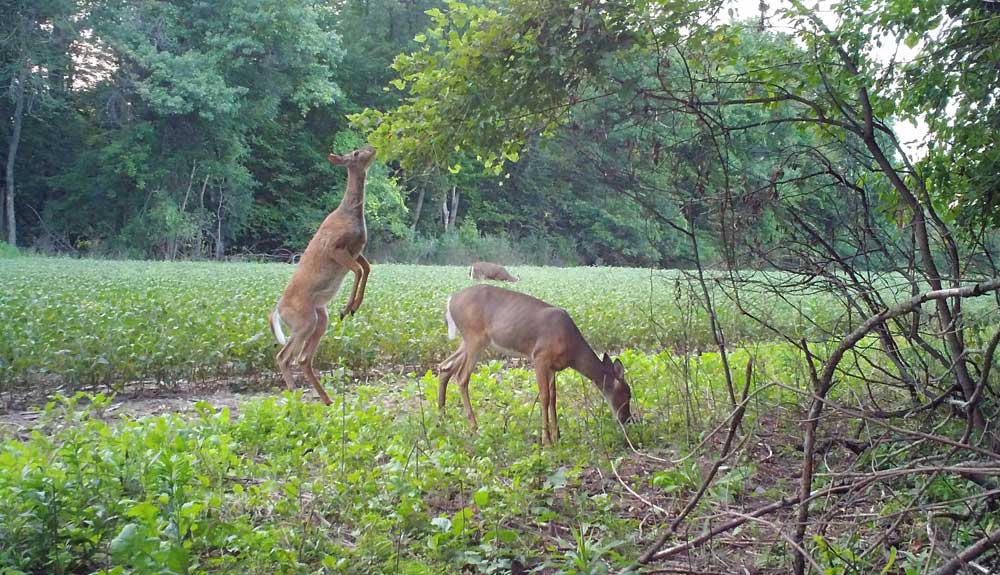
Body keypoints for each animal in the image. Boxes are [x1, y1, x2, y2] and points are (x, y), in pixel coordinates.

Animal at [268, 144, 376, 404]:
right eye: (355, 152)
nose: (372, 148)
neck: (349, 213)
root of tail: (277, 309)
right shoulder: (337, 249)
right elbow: (358, 271)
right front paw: (348, 307)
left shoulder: (357, 250)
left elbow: (367, 269)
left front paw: (353, 307)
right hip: (303, 320)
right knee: (284, 356)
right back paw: (296, 396)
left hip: (319, 317)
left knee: (303, 358)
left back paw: (326, 400)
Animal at [440, 284, 632, 446]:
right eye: (627, 394)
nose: (627, 420)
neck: (572, 350)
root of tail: (450, 301)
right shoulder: (539, 357)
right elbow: (544, 397)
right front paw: (546, 441)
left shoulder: (553, 367)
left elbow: (554, 397)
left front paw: (557, 436)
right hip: (474, 337)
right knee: (461, 377)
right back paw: (474, 428)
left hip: (468, 341)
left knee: (445, 367)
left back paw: (441, 418)